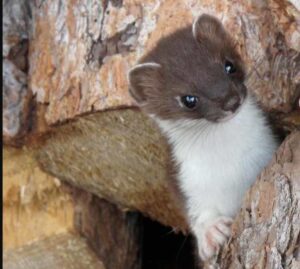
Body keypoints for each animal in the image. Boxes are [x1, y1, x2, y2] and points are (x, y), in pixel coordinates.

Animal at [127, 14, 278, 260]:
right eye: (188, 99)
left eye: (228, 65)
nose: (231, 100)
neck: (229, 162)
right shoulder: (183, 177)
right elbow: (193, 208)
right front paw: (212, 232)